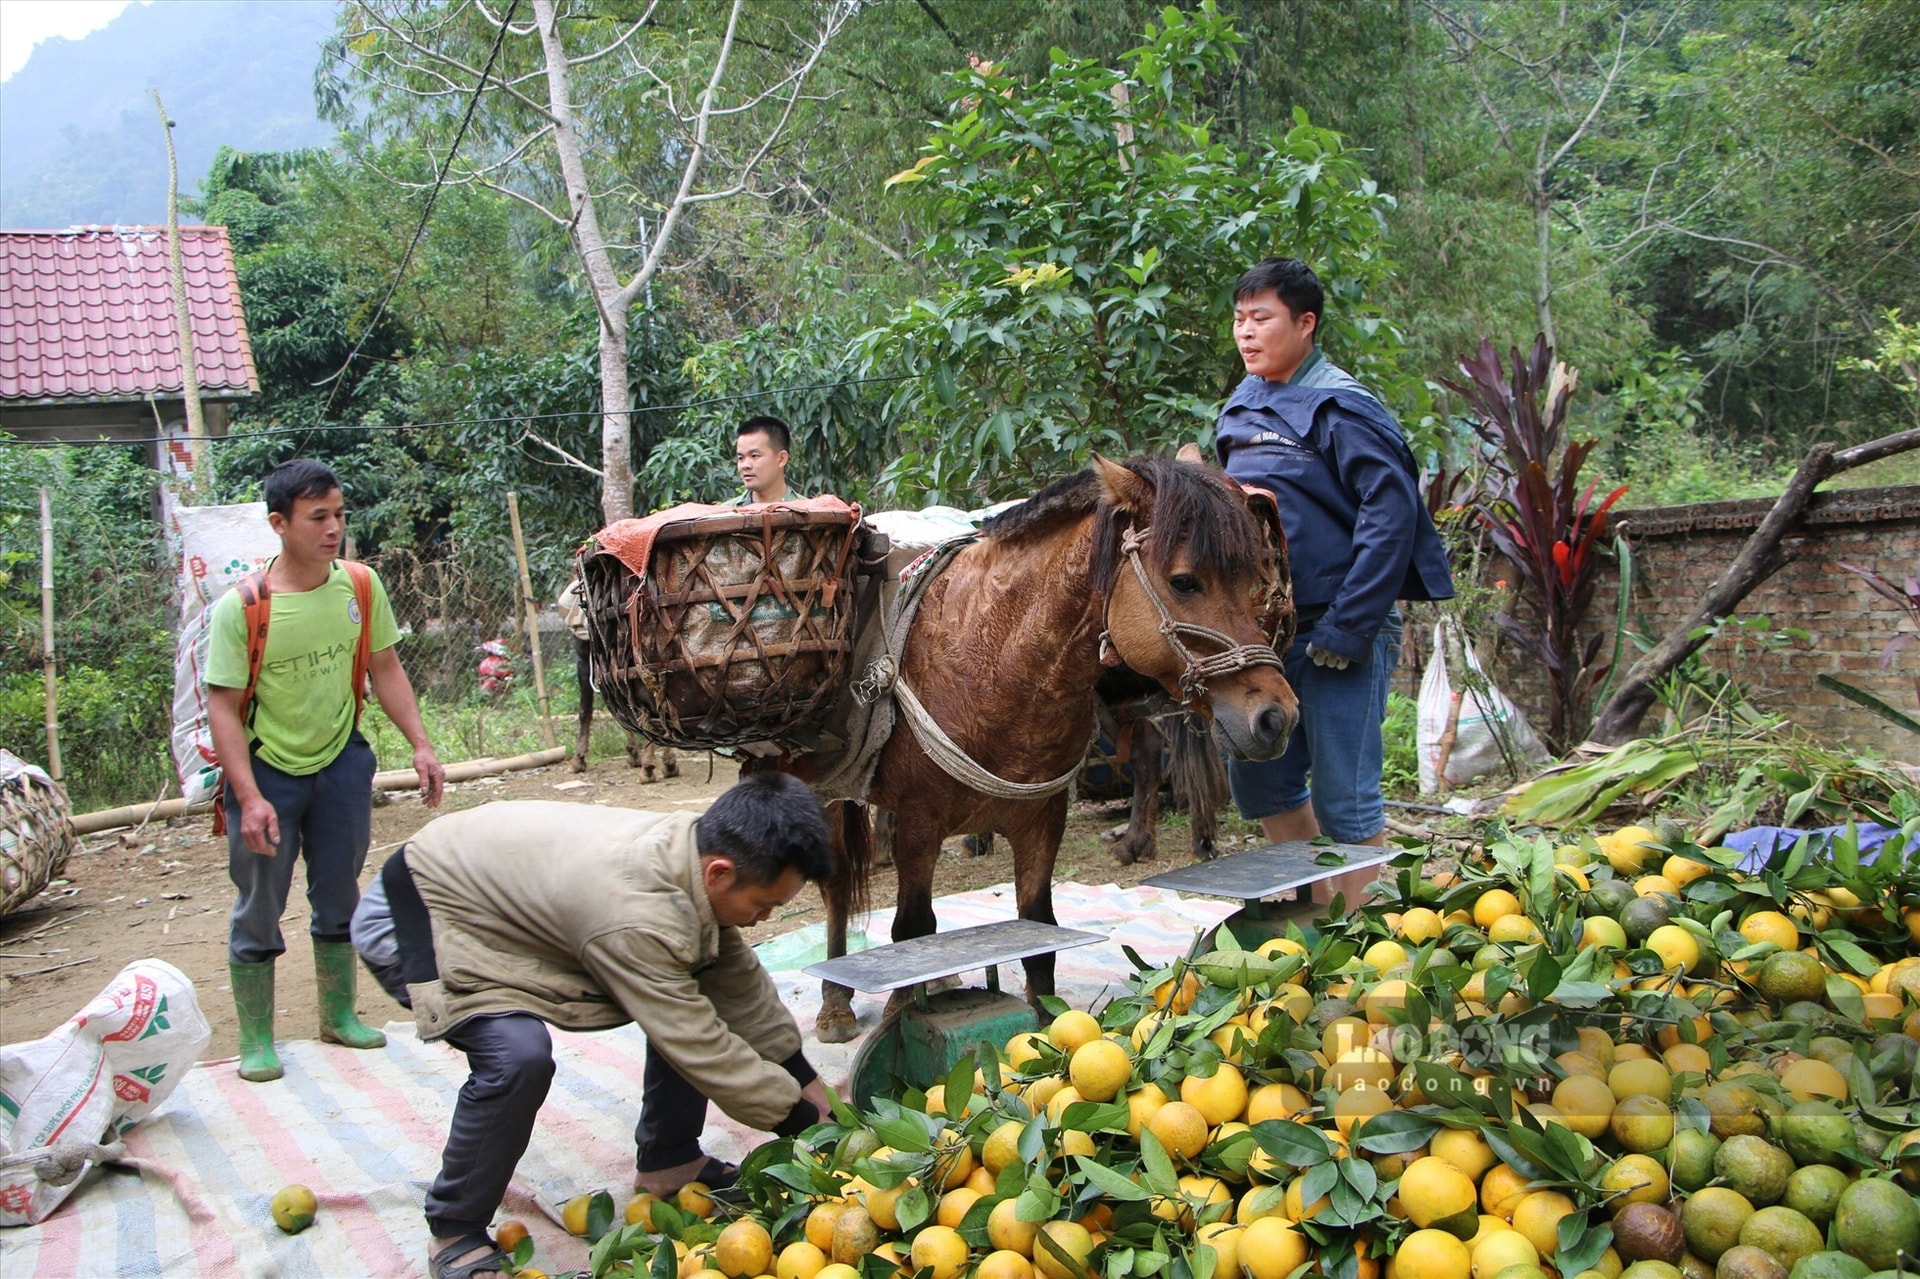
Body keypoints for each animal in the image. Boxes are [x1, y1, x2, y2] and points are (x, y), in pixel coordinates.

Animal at [817, 453, 1297, 1044]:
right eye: (1184, 582)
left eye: (1253, 579)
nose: (1277, 717)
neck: (993, 660)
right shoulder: (918, 824)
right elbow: (912, 934)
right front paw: (900, 1013)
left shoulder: (1042, 820)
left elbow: (1039, 934)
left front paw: (1046, 1029)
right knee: (837, 886)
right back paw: (835, 1004)